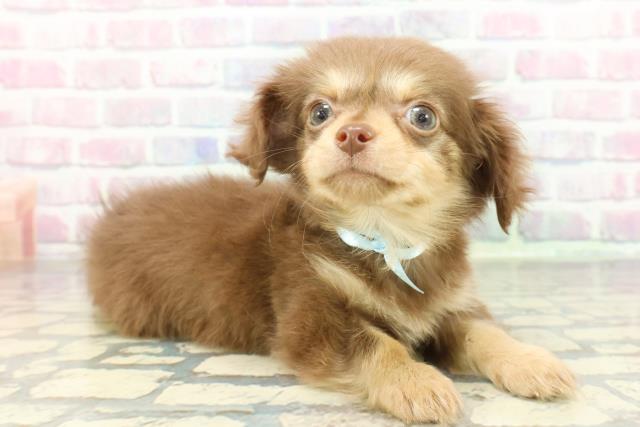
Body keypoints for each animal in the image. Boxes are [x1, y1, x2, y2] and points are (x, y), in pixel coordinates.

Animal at [87, 37, 575, 424]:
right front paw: (416, 381)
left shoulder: (451, 307)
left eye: (422, 116)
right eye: (320, 112)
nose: (352, 133)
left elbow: (486, 333)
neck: (386, 237)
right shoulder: (311, 315)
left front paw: (531, 361)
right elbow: (375, 342)